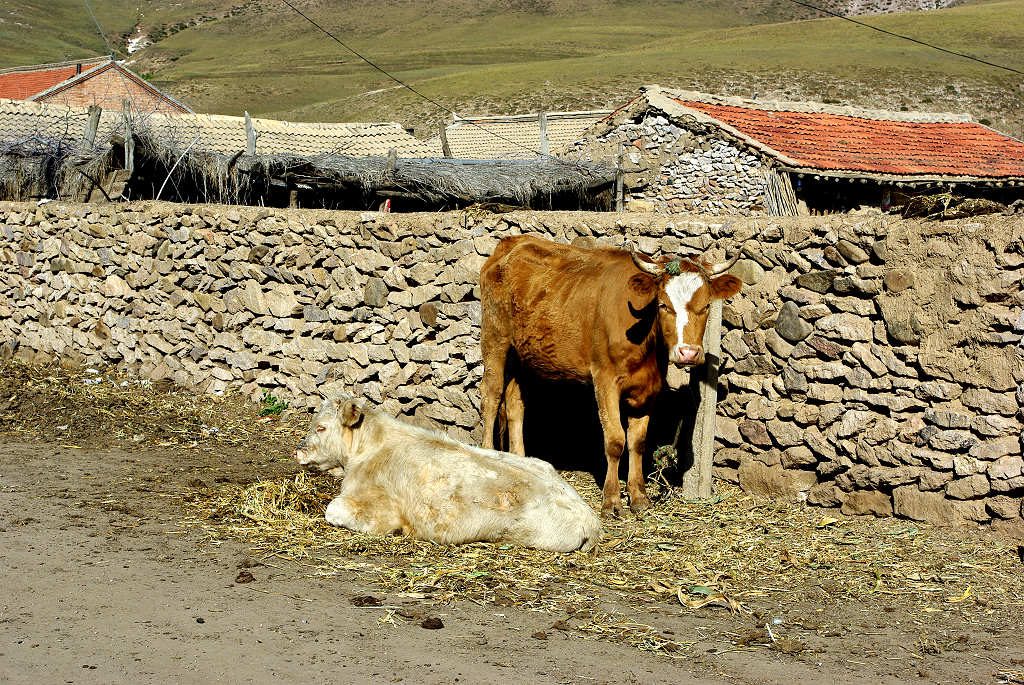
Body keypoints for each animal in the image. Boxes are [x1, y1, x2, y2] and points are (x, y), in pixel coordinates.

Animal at [479, 233, 745, 511]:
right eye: (663, 305)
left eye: (706, 306)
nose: (688, 353)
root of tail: (512, 241)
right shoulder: (604, 379)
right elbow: (615, 440)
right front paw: (611, 500)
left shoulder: (650, 387)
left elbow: (638, 442)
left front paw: (639, 496)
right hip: (495, 340)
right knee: (491, 397)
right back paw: (486, 453)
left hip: (526, 356)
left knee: (514, 405)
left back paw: (523, 464)